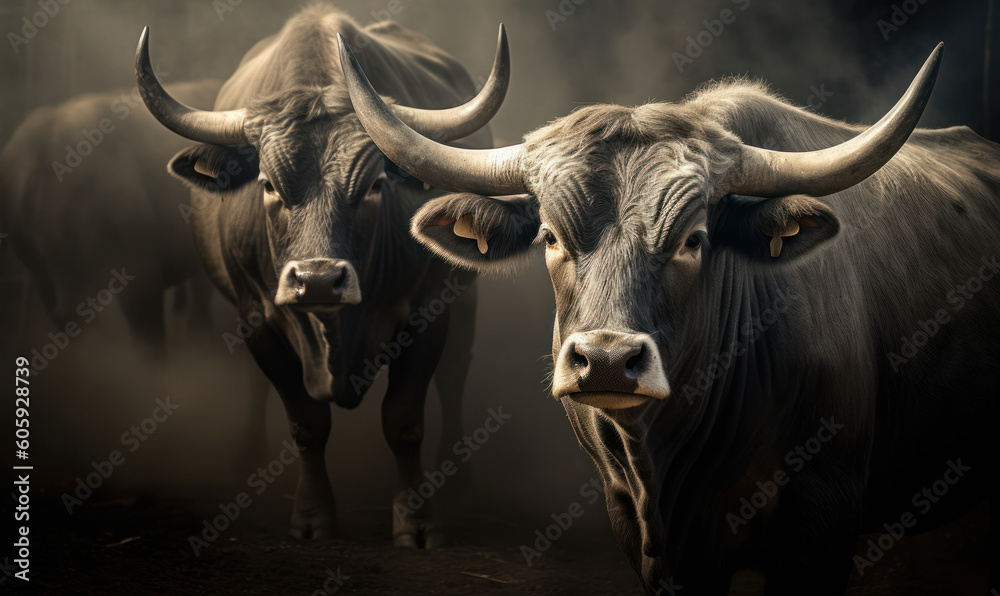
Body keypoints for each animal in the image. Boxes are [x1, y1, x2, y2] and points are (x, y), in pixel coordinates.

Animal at [135, 5, 510, 547]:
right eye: (268, 185)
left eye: (375, 185)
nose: (316, 279)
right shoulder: (257, 315)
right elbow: (307, 423)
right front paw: (312, 519)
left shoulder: (426, 312)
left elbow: (404, 421)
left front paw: (417, 522)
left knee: (456, 372)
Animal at [342, 39, 1000, 593]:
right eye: (550, 236)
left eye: (694, 239)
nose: (607, 361)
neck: (663, 466)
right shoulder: (642, 533)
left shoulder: (823, 521)